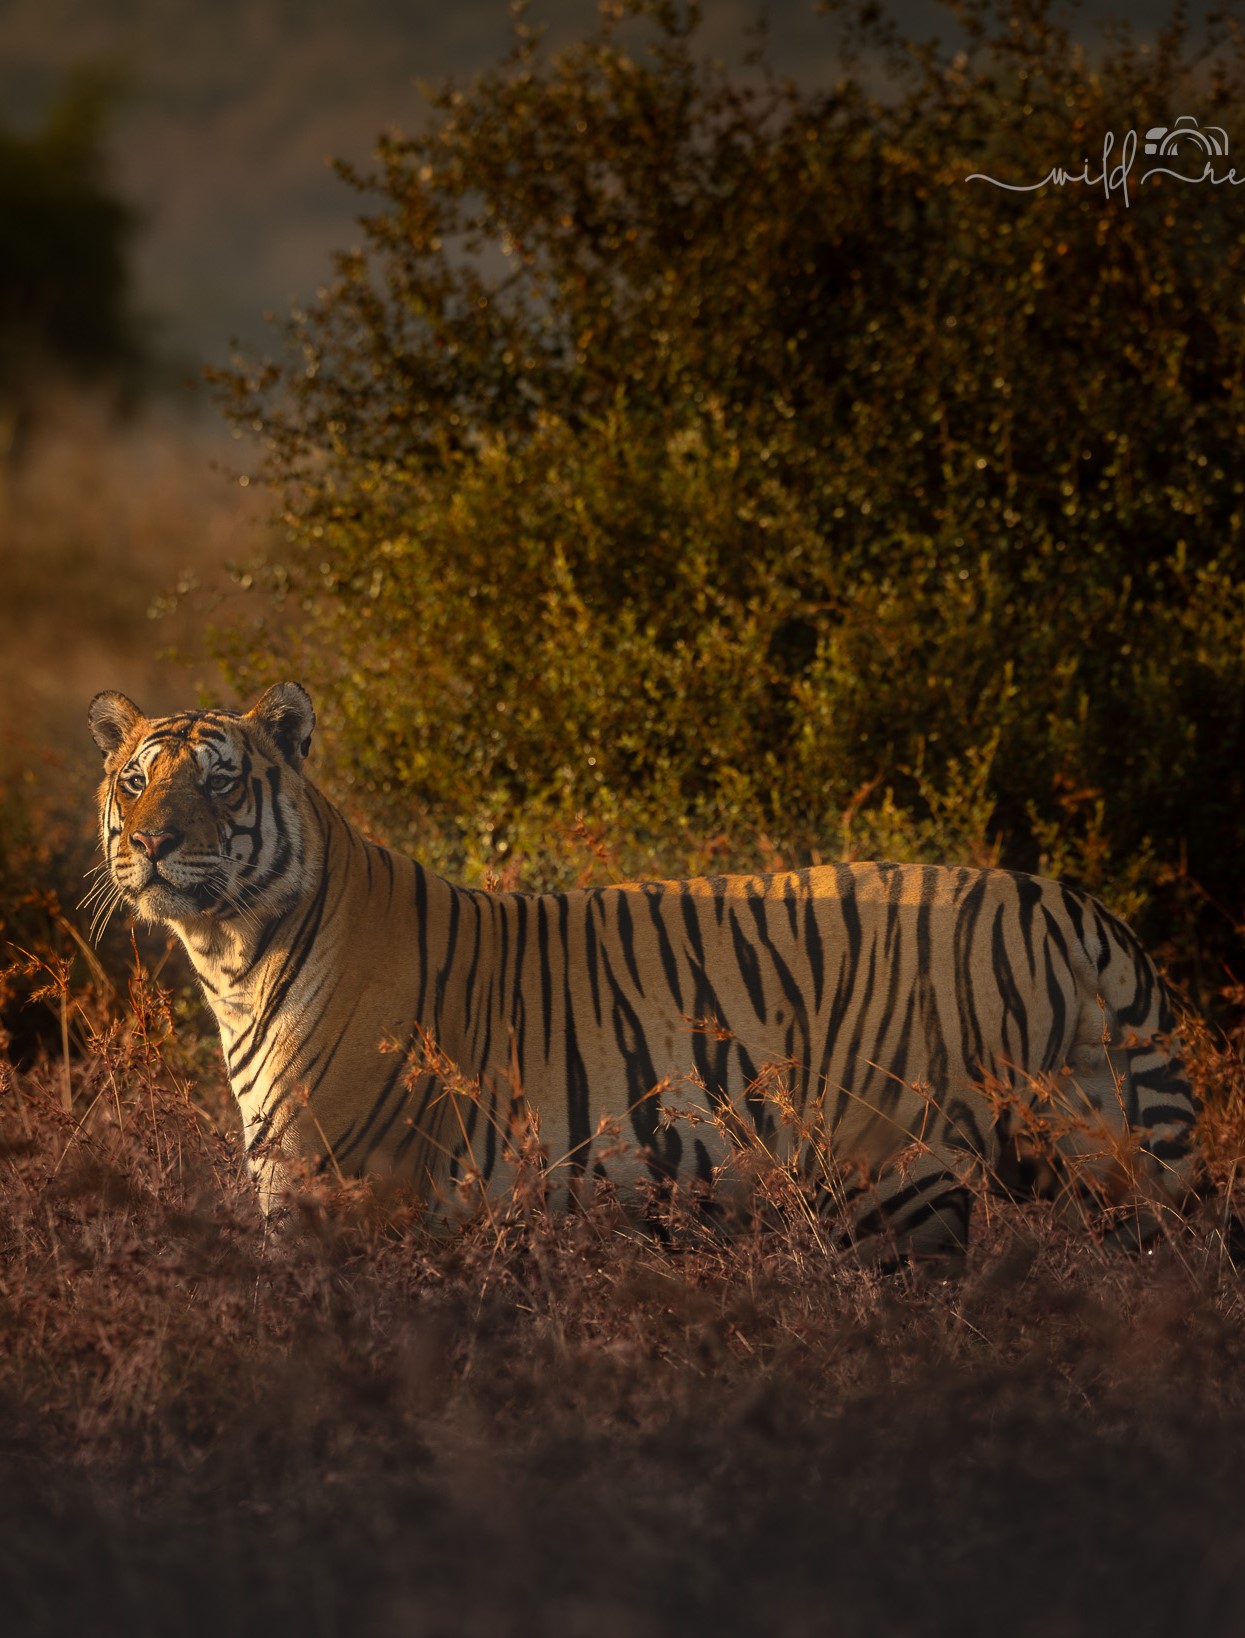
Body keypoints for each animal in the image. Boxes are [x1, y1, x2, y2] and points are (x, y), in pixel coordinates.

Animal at [87, 680, 1199, 1263]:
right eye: (135, 781)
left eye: (220, 783)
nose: (148, 844)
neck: (234, 957)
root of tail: (1066, 901)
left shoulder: (348, 1189)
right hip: (1096, 1152)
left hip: (898, 1172)